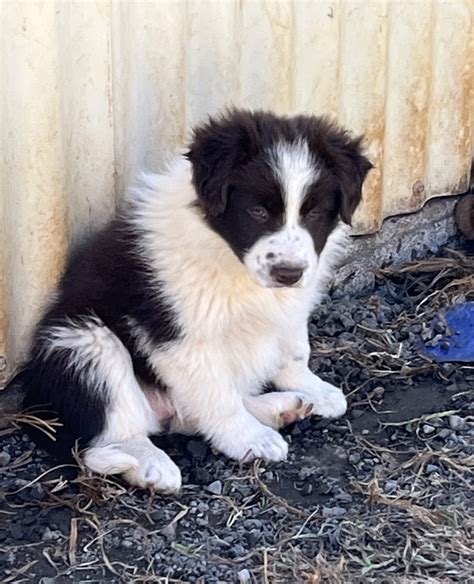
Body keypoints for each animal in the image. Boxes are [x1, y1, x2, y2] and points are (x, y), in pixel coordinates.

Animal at [12, 110, 370, 492]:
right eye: (257, 211)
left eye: (314, 214)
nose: (287, 273)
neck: (228, 254)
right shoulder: (182, 338)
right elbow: (219, 397)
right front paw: (248, 439)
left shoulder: (290, 306)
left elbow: (294, 350)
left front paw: (313, 389)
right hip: (85, 341)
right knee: (118, 433)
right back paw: (152, 464)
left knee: (187, 415)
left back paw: (282, 407)